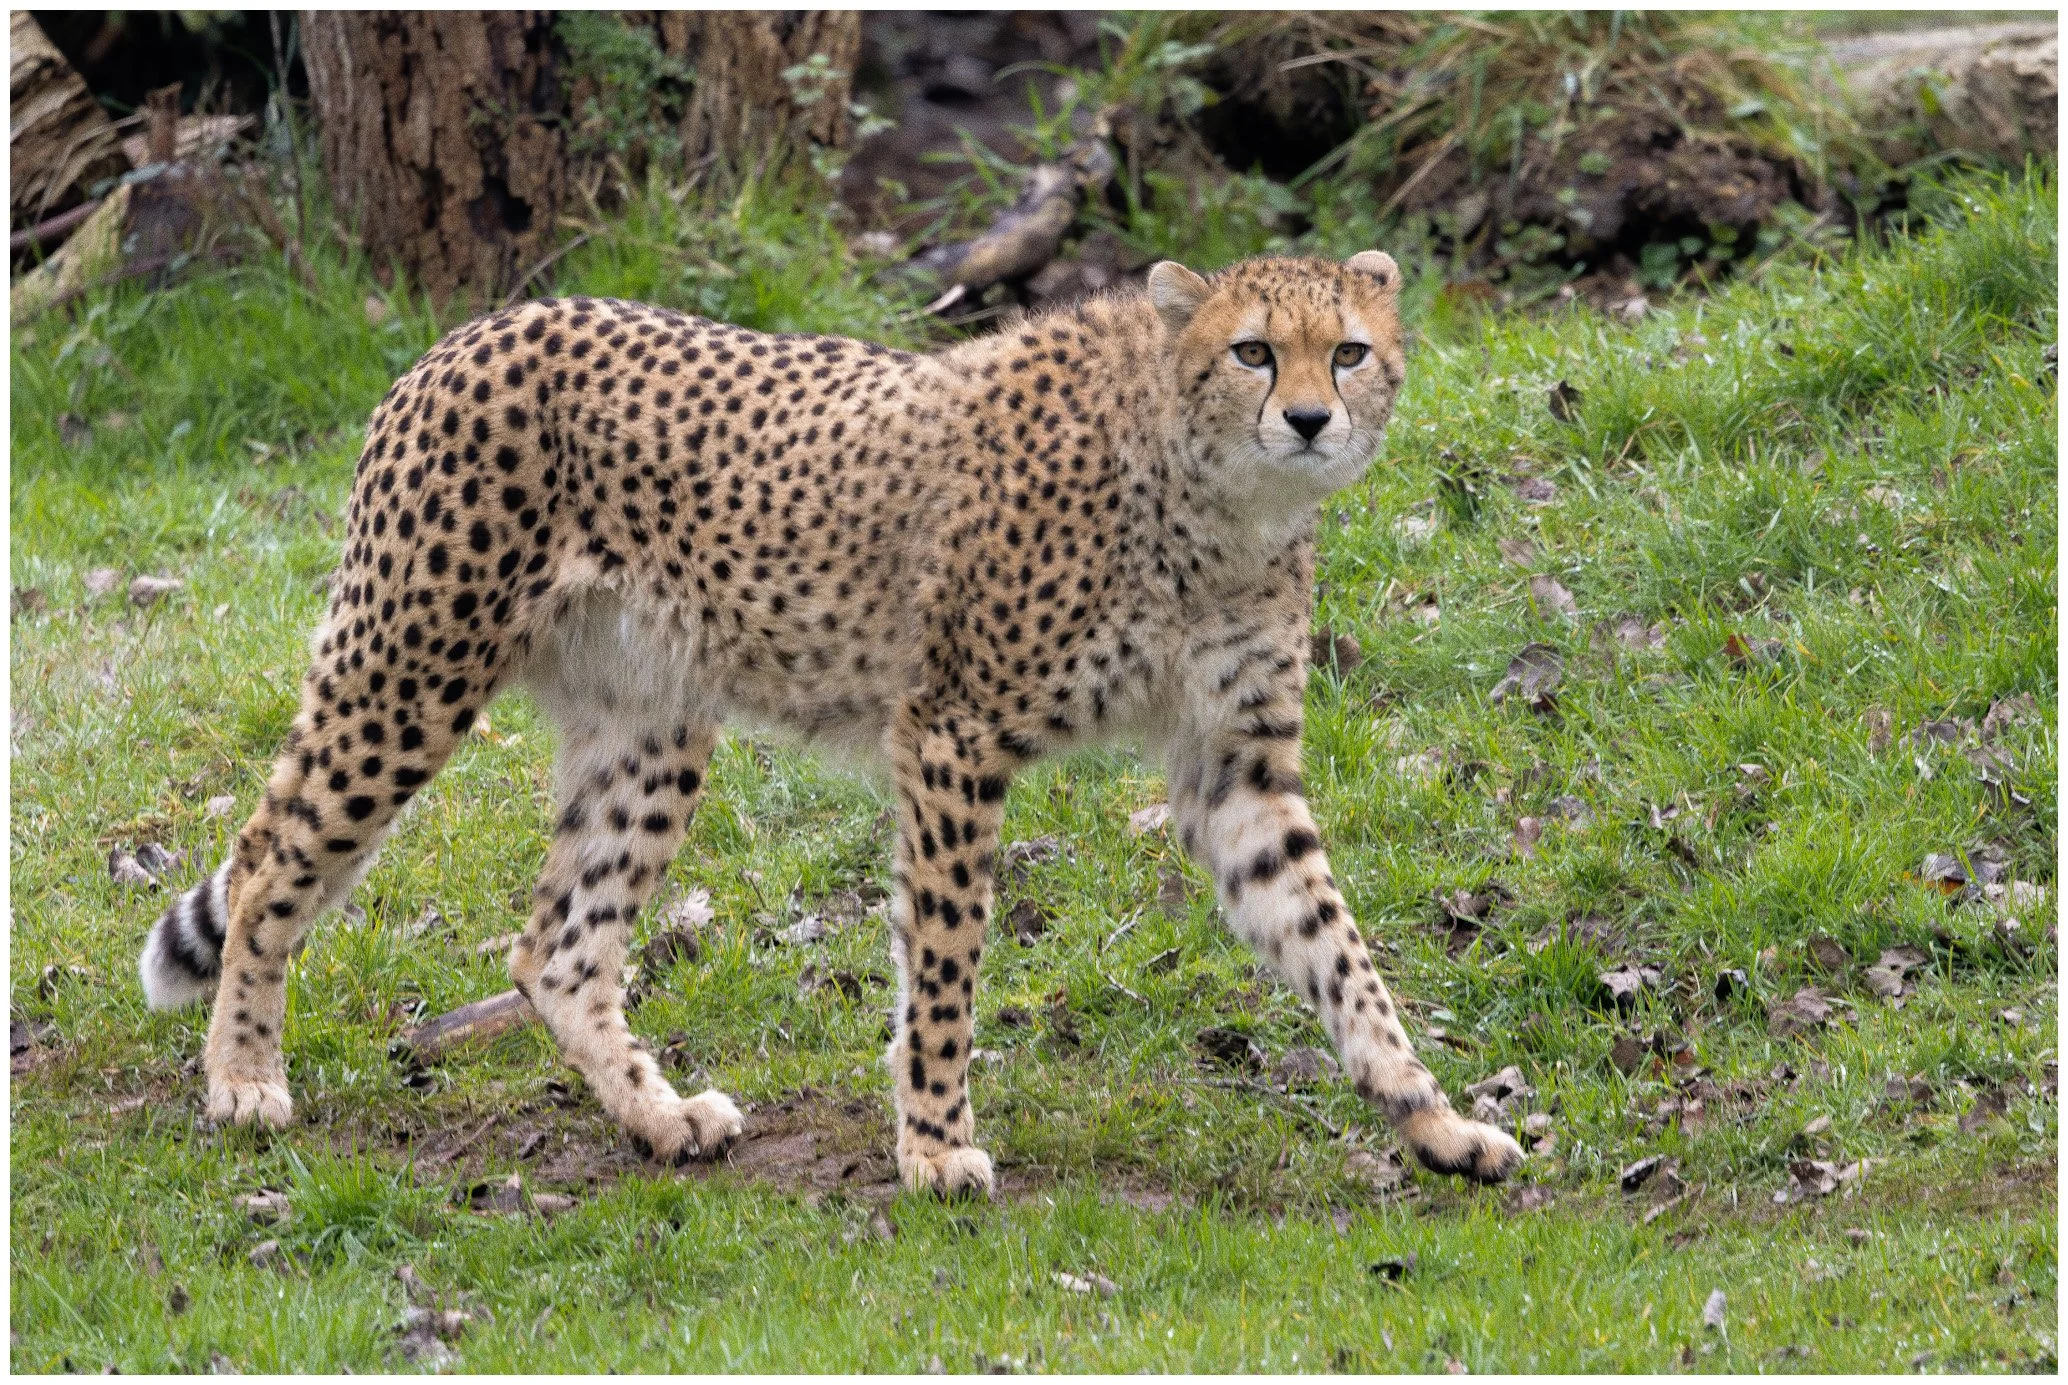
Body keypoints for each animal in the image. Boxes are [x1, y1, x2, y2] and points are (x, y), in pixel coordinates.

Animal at [139, 247, 1525, 1195]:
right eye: (1251, 352)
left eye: (1347, 351)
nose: (1309, 417)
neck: (1212, 501)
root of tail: (484, 323)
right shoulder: (955, 734)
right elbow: (947, 960)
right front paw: (934, 1145)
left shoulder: (1234, 769)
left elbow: (1337, 950)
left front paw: (1434, 1117)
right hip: (409, 668)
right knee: (269, 858)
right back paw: (245, 1076)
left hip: (651, 721)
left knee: (558, 947)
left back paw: (658, 1118)